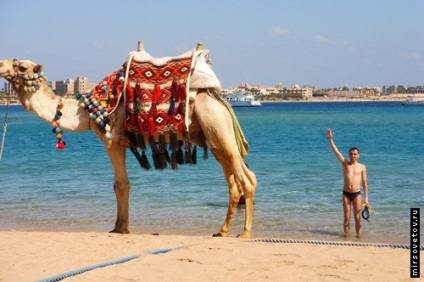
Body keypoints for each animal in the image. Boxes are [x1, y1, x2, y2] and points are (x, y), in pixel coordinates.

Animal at [0, 41, 258, 238]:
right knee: (234, 181)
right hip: (213, 135)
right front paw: (120, 226)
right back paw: (222, 231)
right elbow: (122, 185)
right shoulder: (121, 144)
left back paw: (244, 233)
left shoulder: (111, 141)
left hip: (215, 123)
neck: (85, 111)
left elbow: (121, 185)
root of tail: (220, 98)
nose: (1, 64)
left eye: (21, 66)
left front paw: (119, 228)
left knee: (246, 179)